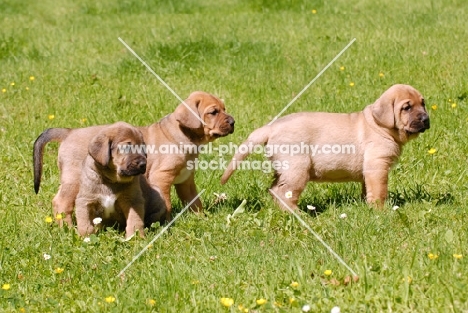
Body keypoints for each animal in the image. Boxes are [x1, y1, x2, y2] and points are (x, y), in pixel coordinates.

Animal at [33, 91, 234, 224]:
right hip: (74, 179)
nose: (233, 122)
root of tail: (68, 133)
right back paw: (67, 228)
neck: (184, 135)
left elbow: (194, 203)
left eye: (224, 109)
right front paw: (166, 223)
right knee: (61, 203)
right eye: (213, 112)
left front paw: (201, 219)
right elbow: (167, 203)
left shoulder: (186, 182)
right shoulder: (161, 177)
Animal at [221, 83, 430, 210]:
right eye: (407, 107)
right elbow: (379, 190)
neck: (380, 126)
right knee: (284, 193)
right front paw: (380, 210)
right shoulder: (377, 165)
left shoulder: (368, 171)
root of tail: (271, 127)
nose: (426, 119)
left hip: (284, 169)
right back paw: (299, 214)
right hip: (297, 169)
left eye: (423, 103)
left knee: (275, 190)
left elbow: (367, 189)